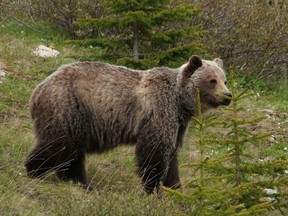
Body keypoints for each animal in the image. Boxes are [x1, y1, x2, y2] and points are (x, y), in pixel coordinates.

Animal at [24, 54, 232, 193]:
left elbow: (172, 155)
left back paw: (80, 182)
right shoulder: (159, 110)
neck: (180, 102)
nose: (228, 96)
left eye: (225, 80)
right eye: (212, 80)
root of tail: (38, 89)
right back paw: (34, 170)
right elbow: (155, 151)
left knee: (72, 153)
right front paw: (153, 189)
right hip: (70, 107)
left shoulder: (179, 124)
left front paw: (175, 188)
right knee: (60, 144)